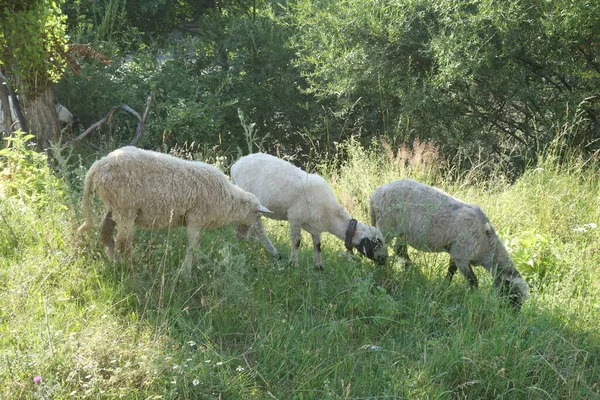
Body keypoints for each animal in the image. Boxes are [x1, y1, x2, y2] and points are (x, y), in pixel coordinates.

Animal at [77, 146, 272, 278]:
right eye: (257, 215)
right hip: (126, 207)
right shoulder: (196, 217)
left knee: (105, 232)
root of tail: (98, 165)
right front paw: (185, 272)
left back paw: (114, 262)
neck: (228, 199)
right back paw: (135, 267)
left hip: (114, 206)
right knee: (123, 242)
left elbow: (195, 246)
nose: (241, 237)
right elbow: (193, 245)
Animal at [230, 152, 390, 268]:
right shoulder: (295, 218)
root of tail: (237, 164)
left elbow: (317, 246)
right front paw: (293, 264)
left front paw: (318, 267)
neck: (331, 216)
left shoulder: (315, 227)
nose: (384, 261)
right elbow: (296, 242)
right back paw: (273, 252)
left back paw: (252, 244)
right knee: (259, 228)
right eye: (377, 243)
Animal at [368, 178, 528, 306]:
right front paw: (474, 297)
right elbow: (473, 281)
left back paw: (412, 269)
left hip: (401, 232)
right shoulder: (462, 257)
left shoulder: (455, 252)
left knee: (399, 250)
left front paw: (445, 285)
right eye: (514, 296)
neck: (487, 245)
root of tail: (375, 195)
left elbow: (451, 271)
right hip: (387, 225)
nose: (513, 314)